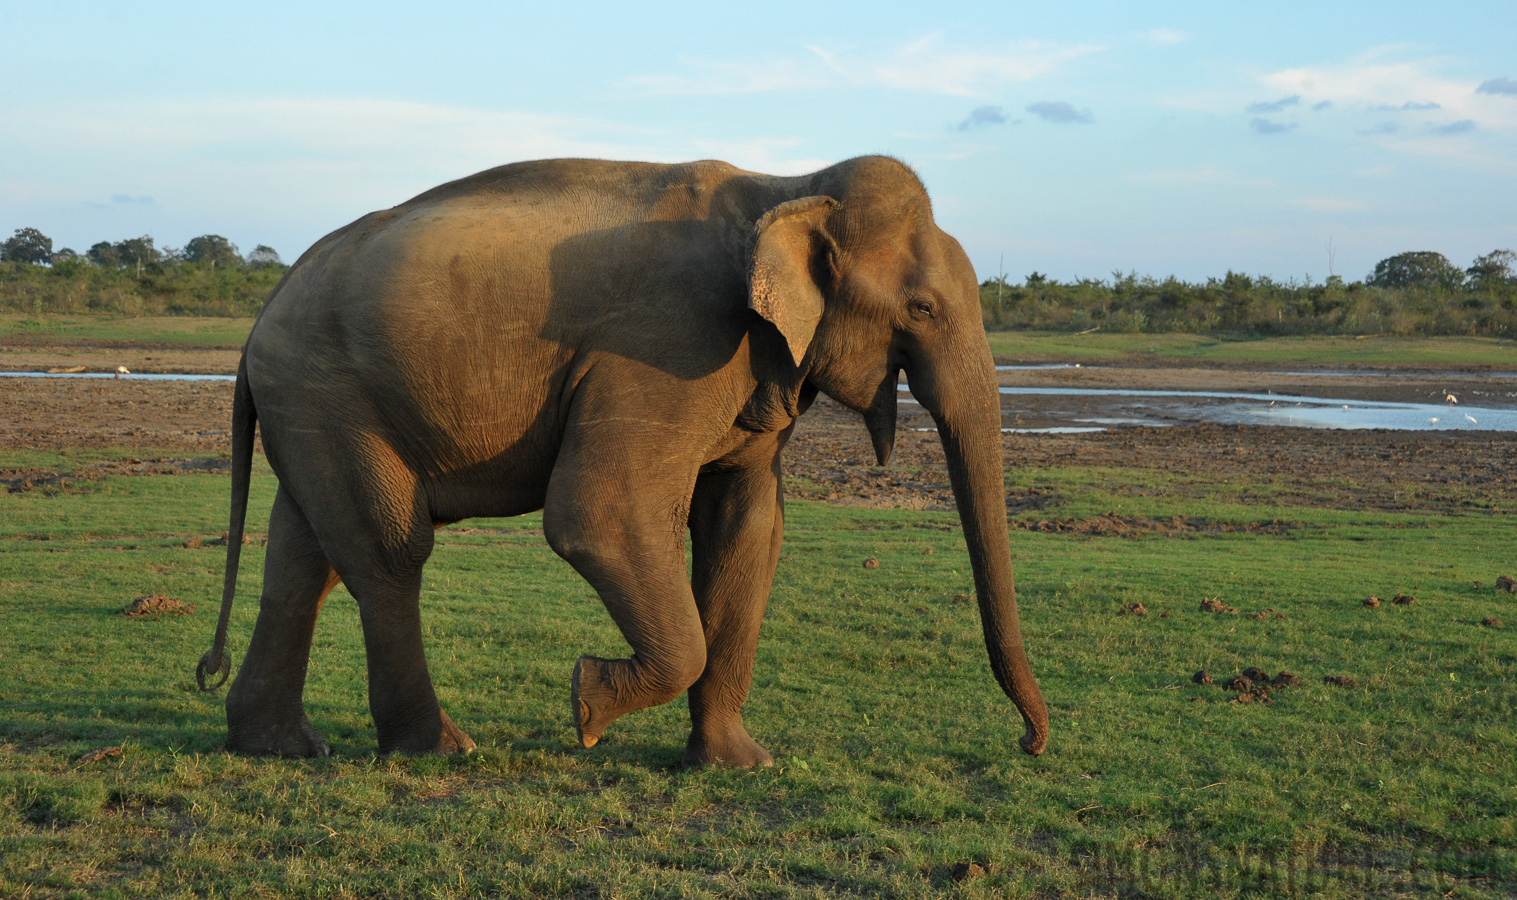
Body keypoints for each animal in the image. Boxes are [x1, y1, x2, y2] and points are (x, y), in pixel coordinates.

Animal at [195, 154, 1049, 764]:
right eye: (923, 308)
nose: (1028, 742)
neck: (791, 185)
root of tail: (257, 324)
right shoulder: (667, 346)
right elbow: (597, 516)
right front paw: (587, 706)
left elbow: (746, 526)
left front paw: (737, 764)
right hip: (330, 390)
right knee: (387, 552)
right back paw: (438, 749)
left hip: (315, 407)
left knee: (305, 556)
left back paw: (280, 746)